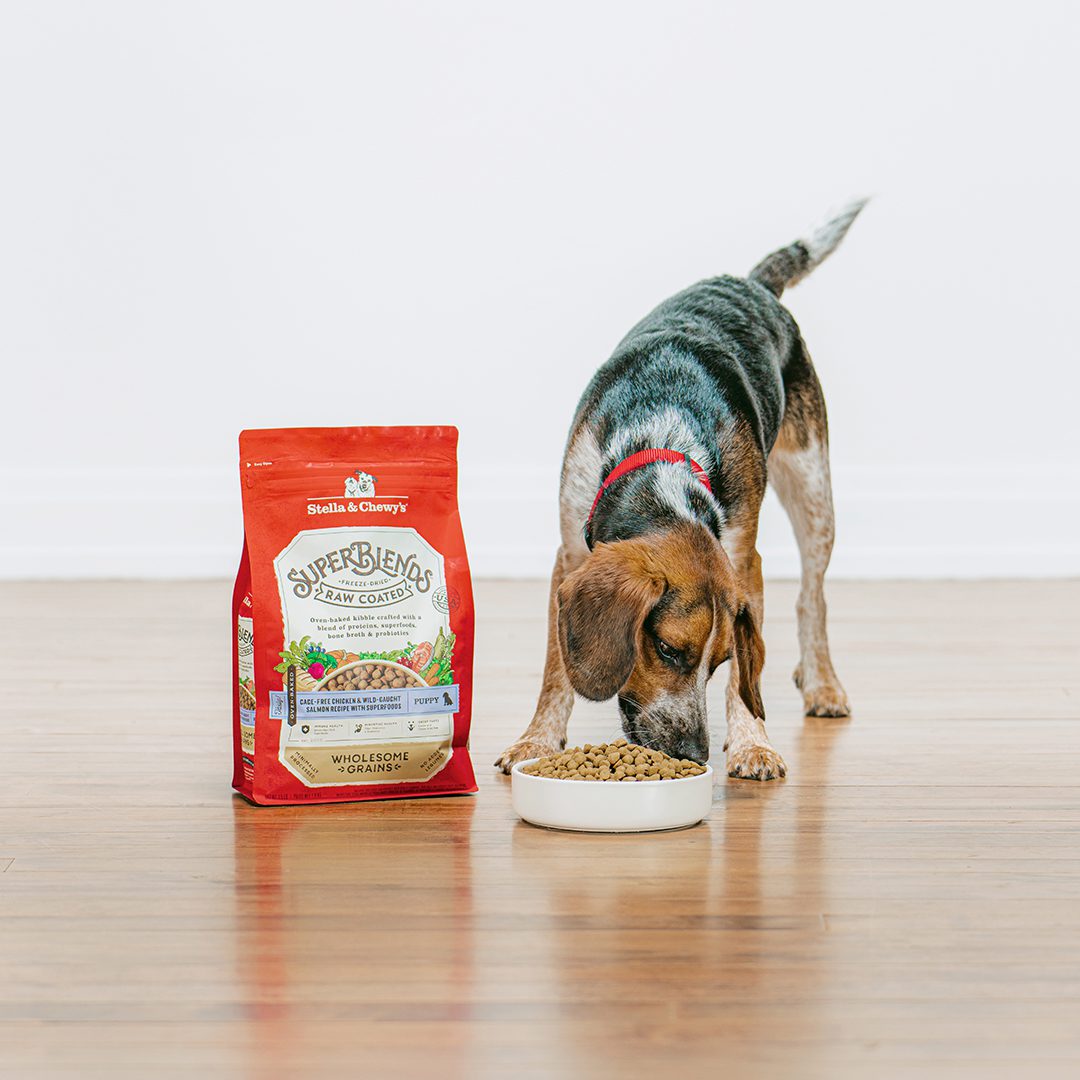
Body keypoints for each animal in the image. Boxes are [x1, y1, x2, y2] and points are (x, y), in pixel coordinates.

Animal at [494, 200, 864, 777]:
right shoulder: (570, 553)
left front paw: (753, 743)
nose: (692, 754)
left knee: (812, 597)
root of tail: (748, 283)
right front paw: (537, 740)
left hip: (813, 489)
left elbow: (746, 681)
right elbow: (557, 670)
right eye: (667, 650)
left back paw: (821, 683)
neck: (661, 446)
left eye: (720, 662)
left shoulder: (744, 561)